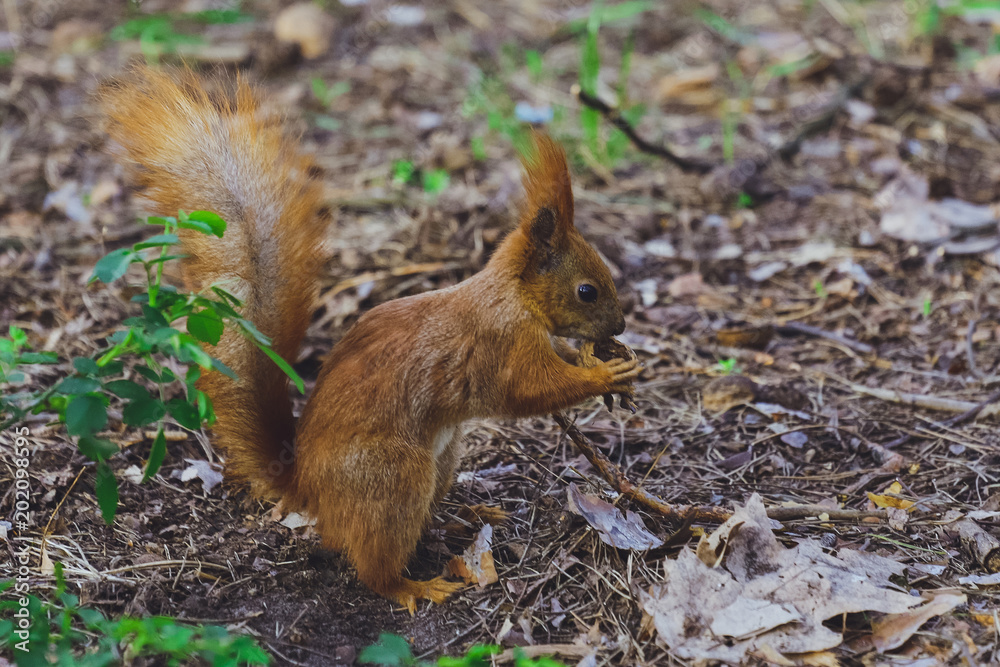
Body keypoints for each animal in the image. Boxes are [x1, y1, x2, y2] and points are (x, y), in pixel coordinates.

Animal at [103, 65, 640, 612]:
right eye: (587, 291)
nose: (619, 327)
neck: (512, 295)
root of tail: (306, 487)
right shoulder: (504, 344)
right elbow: (531, 390)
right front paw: (607, 372)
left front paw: (601, 362)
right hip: (393, 480)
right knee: (374, 564)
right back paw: (415, 585)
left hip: (441, 460)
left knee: (423, 522)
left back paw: (463, 520)